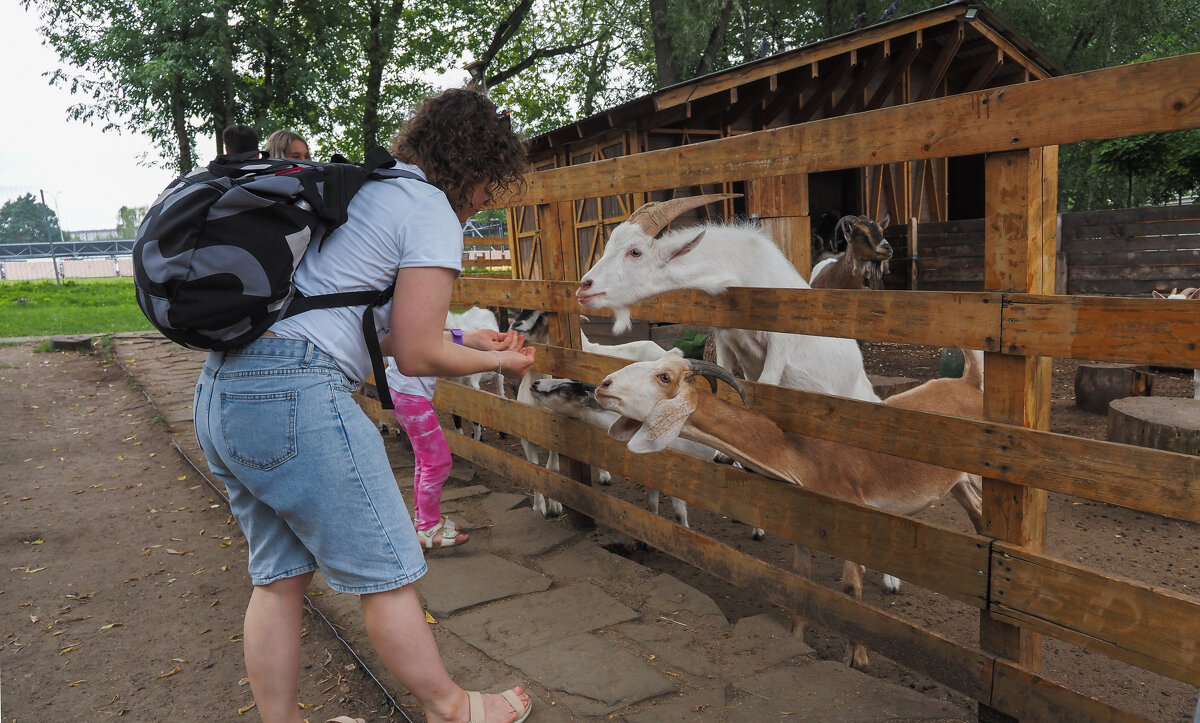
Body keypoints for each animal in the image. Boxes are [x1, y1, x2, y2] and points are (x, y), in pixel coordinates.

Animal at [592, 350, 984, 667]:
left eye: (664, 377)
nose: (603, 385)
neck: (802, 458)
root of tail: (969, 382)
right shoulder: (803, 529)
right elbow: (799, 583)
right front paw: (794, 641)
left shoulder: (850, 526)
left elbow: (850, 591)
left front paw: (856, 658)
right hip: (959, 484)